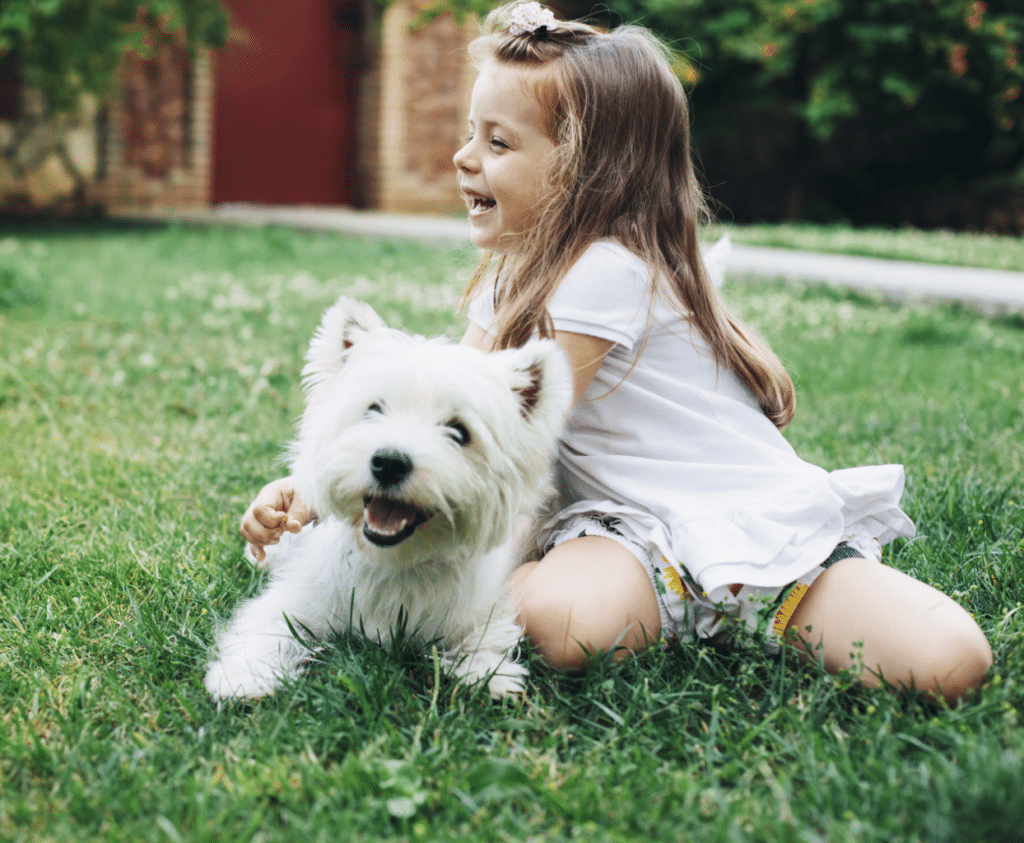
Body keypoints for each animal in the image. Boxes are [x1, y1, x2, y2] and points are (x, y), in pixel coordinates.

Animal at [205, 297, 577, 700]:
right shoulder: (298, 598)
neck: (395, 563)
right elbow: (268, 627)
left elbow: (484, 638)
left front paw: (487, 674)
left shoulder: (481, 609)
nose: (389, 462)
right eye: (373, 409)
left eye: (459, 432)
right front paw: (244, 676)